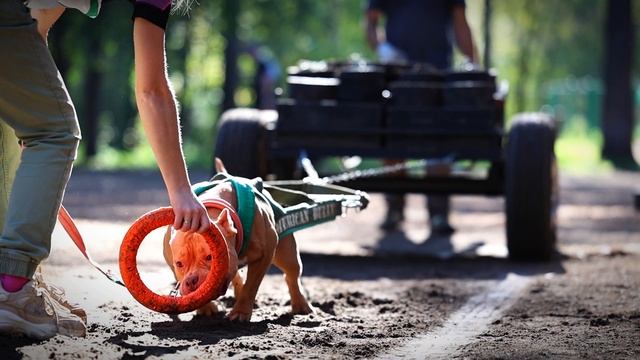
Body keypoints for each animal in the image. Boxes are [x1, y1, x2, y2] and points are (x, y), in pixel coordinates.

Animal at [162, 159, 312, 322]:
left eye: (210, 257)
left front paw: (240, 312)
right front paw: (206, 308)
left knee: (292, 274)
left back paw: (301, 306)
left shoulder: (264, 256)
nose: (191, 281)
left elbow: (251, 286)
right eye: (179, 264)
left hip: (286, 252)